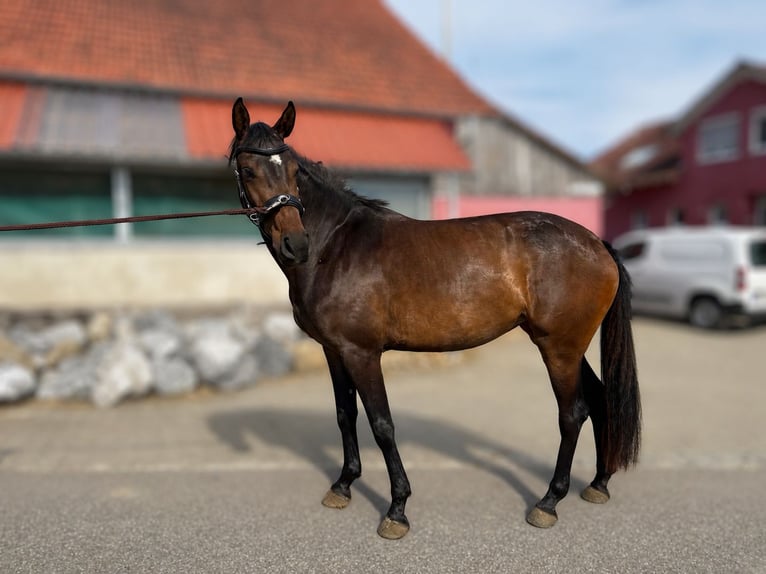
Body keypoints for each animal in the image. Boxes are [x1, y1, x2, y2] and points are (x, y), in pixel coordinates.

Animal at [228, 98, 641, 539]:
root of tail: (595, 242)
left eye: (292, 171)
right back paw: (598, 484)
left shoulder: (362, 353)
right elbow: (345, 416)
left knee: (572, 413)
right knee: (599, 399)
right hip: (569, 346)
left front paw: (397, 509)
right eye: (249, 170)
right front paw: (343, 486)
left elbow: (382, 424)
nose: (295, 244)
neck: (335, 245)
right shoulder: (334, 351)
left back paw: (548, 502)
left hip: (559, 348)